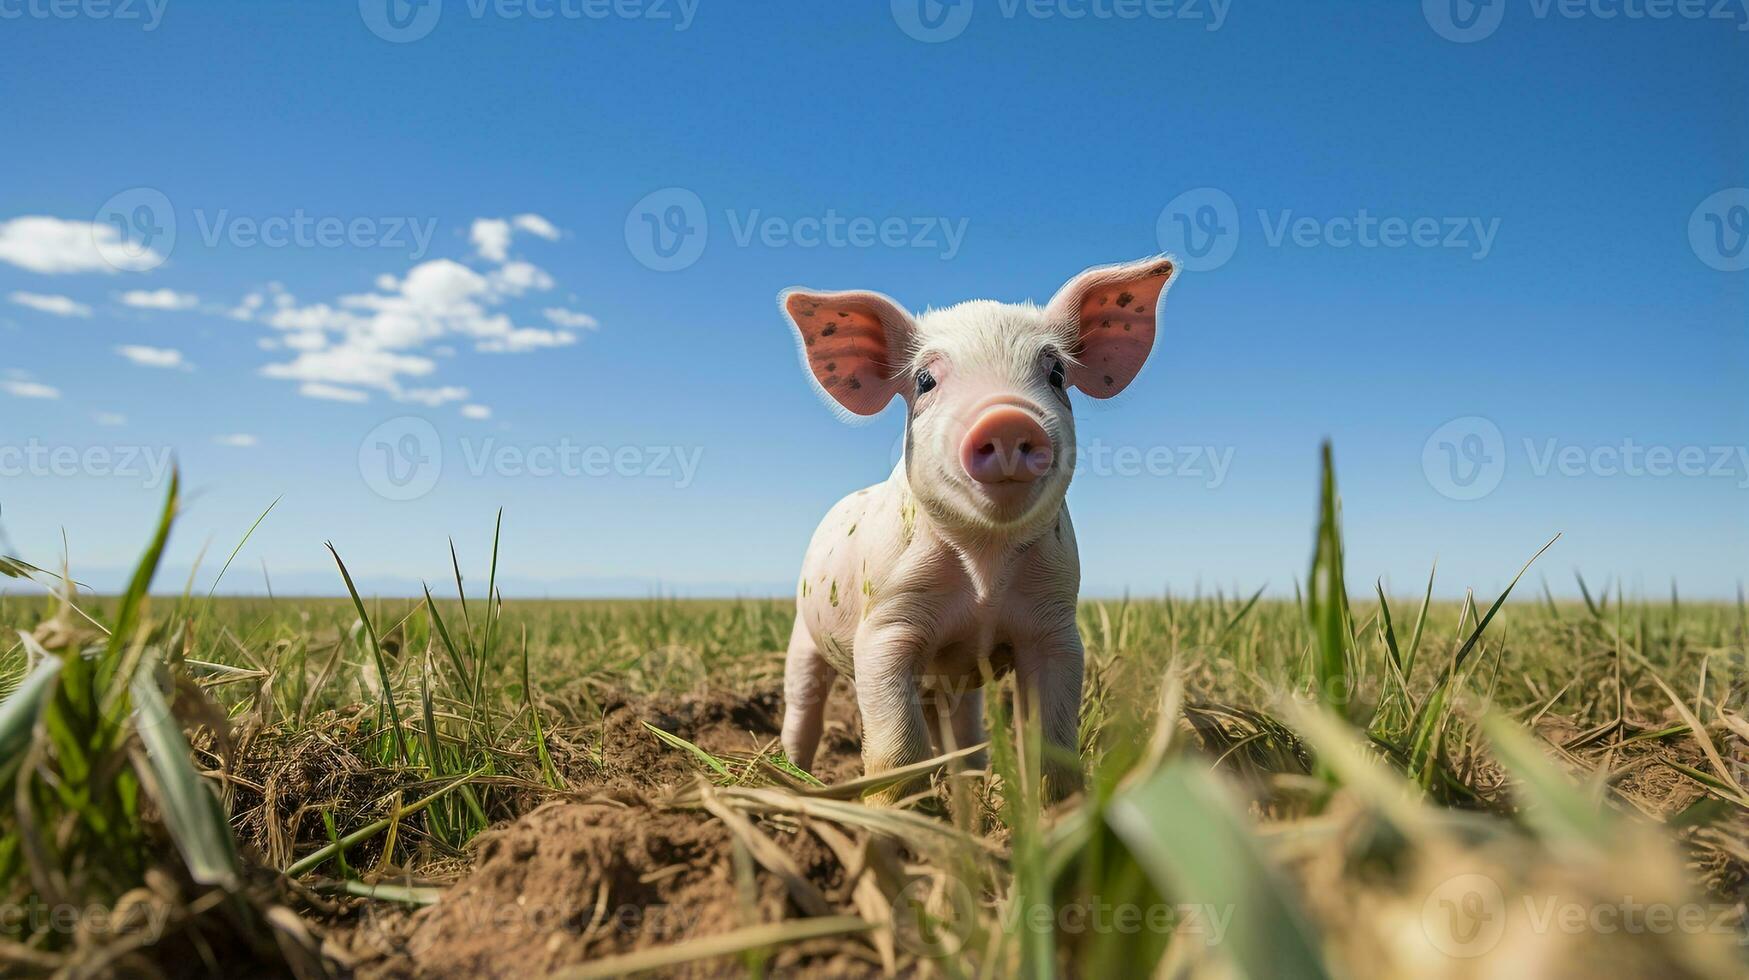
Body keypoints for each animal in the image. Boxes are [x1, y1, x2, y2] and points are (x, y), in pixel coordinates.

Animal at [776, 253, 1175, 798]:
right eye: (925, 380)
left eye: (1055, 373)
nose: (1007, 418)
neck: (986, 568)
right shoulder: (885, 623)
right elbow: (896, 748)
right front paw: (893, 810)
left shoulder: (1056, 625)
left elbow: (1054, 741)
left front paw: (1055, 806)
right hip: (802, 630)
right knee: (804, 703)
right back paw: (792, 776)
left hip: (957, 683)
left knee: (962, 722)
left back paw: (970, 776)